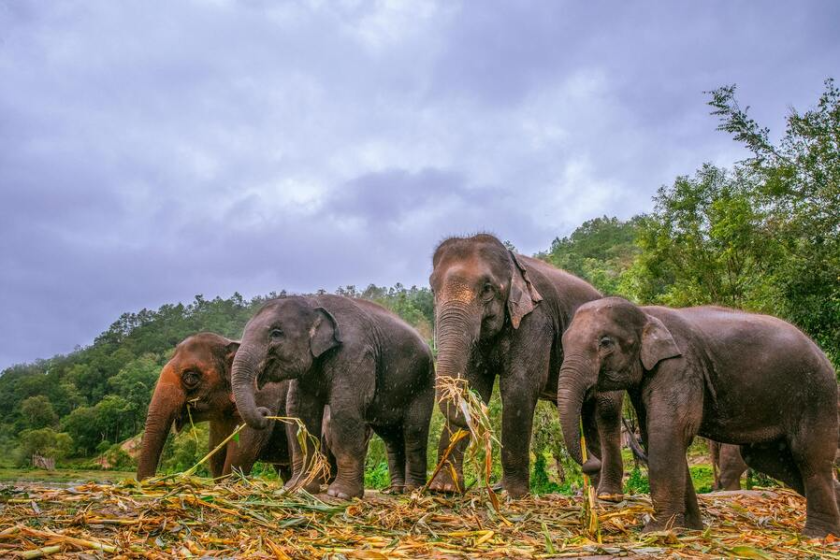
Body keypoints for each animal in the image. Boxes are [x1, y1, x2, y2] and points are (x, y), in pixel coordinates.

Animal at [136, 333, 293, 482]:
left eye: (191, 377)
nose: (265, 413)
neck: (229, 342)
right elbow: (216, 452)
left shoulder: (263, 396)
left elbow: (240, 453)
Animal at [231, 295, 435, 499]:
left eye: (276, 333)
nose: (264, 412)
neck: (313, 302)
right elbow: (300, 411)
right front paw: (296, 488)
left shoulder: (355, 354)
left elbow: (345, 408)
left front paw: (340, 495)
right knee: (390, 437)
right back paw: (396, 491)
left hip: (424, 382)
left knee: (414, 430)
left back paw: (413, 491)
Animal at [428, 234, 625, 499]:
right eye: (432, 289)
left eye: (487, 289)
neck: (513, 262)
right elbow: (476, 384)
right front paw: (443, 489)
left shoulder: (536, 320)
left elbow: (519, 386)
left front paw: (511, 494)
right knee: (588, 413)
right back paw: (592, 492)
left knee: (606, 410)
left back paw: (608, 495)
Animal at [558, 296, 840, 537]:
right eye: (563, 341)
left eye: (605, 342)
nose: (591, 463)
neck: (646, 314)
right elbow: (656, 434)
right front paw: (689, 528)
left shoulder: (680, 366)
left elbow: (668, 431)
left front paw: (656, 531)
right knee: (765, 457)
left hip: (816, 394)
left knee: (809, 457)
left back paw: (817, 535)